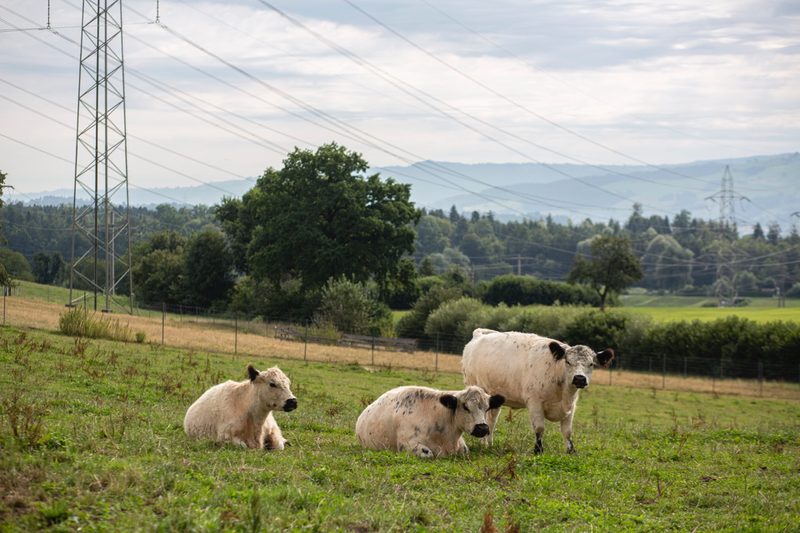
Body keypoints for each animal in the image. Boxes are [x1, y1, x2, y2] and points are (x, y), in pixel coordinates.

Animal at [355, 385, 505, 458]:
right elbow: (428, 454)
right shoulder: (407, 444)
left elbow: (465, 450)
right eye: (465, 407)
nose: (483, 428)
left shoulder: (462, 447)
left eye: (487, 408)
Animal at [462, 328, 614, 454]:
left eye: (591, 364)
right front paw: (538, 450)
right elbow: (539, 428)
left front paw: (571, 450)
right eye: (568, 362)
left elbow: (567, 431)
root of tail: (478, 335)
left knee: (491, 421)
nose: (579, 378)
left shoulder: (571, 406)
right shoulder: (534, 403)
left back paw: (488, 444)